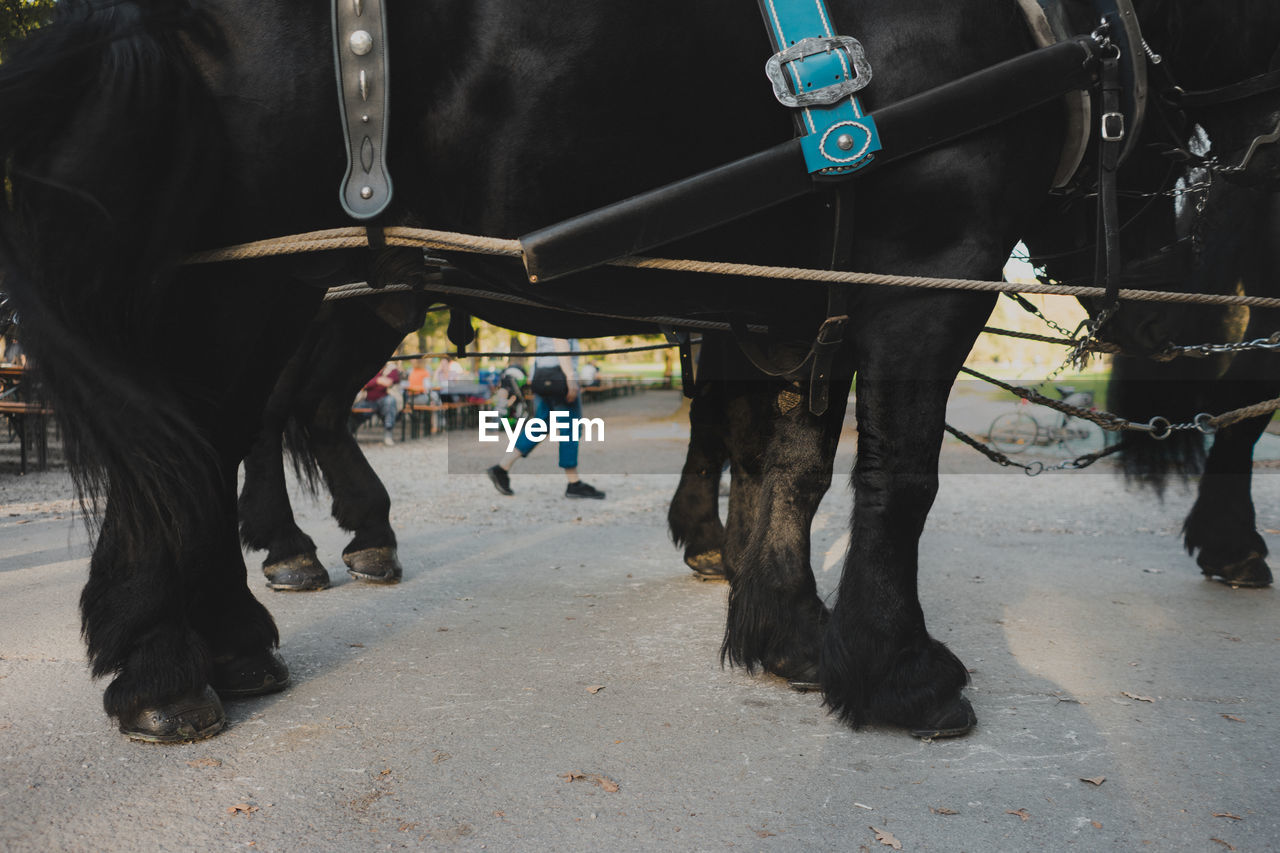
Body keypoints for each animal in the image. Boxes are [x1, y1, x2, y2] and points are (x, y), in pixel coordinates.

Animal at [2, 1, 1280, 737]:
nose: (1210, 322)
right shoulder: (926, 265)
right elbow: (896, 478)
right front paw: (897, 669)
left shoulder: (788, 285)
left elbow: (787, 463)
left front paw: (787, 634)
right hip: (255, 280)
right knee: (206, 438)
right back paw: (174, 658)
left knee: (220, 436)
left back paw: (237, 620)